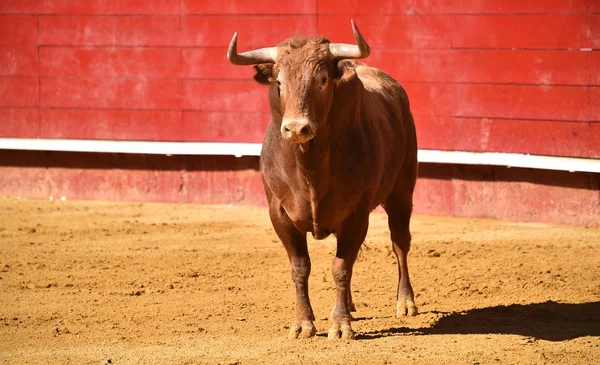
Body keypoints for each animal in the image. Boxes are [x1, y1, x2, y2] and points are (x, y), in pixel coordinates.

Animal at [227, 19, 420, 338]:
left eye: (323, 80)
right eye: (279, 83)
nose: (296, 128)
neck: (309, 165)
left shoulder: (356, 215)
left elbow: (341, 267)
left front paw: (340, 325)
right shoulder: (279, 214)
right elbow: (301, 267)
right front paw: (303, 323)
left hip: (402, 191)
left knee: (400, 242)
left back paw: (405, 302)